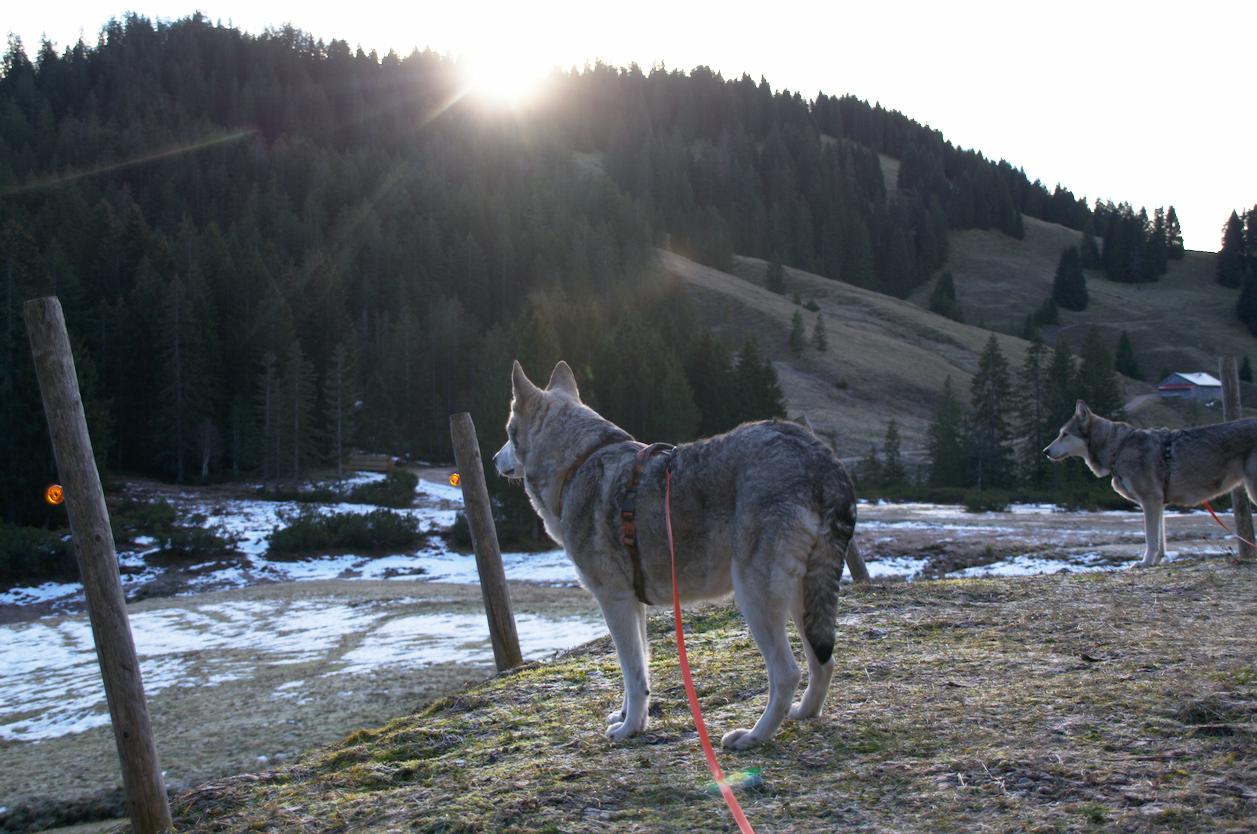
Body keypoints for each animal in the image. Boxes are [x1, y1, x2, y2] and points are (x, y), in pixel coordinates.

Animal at [493, 360, 857, 749]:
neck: (578, 462)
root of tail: (821, 456)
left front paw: (630, 728)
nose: (494, 458)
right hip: (802, 598)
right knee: (824, 662)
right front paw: (625, 715)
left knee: (787, 673)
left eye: (508, 432)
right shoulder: (632, 604)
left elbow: (633, 674)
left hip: (755, 597)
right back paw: (804, 713)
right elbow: (639, 667)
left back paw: (752, 736)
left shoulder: (614, 600)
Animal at [1044, 400, 1257, 565]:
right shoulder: (1159, 503)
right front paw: (1155, 562)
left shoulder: (1150, 501)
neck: (1118, 450)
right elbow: (1160, 542)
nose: (1045, 451)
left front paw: (1144, 562)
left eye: (1064, 434)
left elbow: (1150, 539)